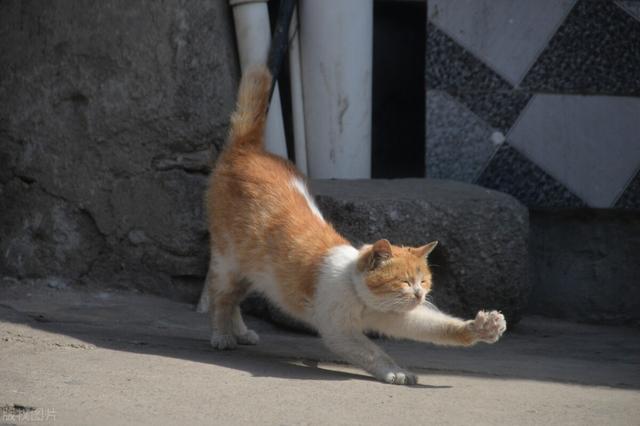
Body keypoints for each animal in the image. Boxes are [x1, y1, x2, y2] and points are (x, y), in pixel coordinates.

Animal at [198, 65, 508, 384]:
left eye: (423, 281)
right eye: (405, 281)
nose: (420, 294)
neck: (359, 295)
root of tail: (248, 148)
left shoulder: (403, 317)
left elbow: (437, 327)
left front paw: (482, 328)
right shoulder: (341, 332)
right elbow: (373, 353)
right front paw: (395, 371)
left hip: (250, 275)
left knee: (232, 300)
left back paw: (241, 332)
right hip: (230, 264)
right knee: (219, 297)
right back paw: (222, 336)